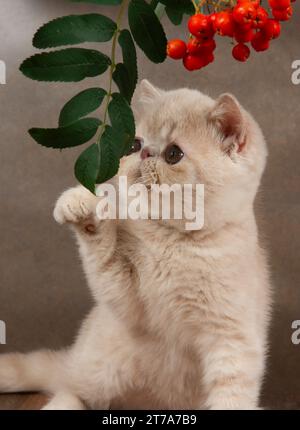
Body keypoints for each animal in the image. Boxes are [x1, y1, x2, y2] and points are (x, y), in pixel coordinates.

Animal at [0, 80, 272, 410]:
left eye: (173, 153)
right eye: (134, 144)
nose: (144, 153)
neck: (172, 242)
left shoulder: (231, 338)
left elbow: (231, 394)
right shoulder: (127, 301)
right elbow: (102, 258)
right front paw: (83, 206)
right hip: (106, 365)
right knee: (70, 387)